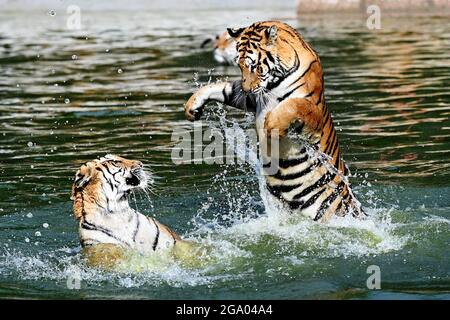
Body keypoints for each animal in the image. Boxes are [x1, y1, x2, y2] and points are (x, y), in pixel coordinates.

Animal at [186, 20, 366, 222]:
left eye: (255, 66)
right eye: (239, 66)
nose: (246, 89)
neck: (274, 82)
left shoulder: (311, 111)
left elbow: (293, 104)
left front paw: (271, 126)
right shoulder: (251, 99)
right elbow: (221, 87)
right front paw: (192, 106)